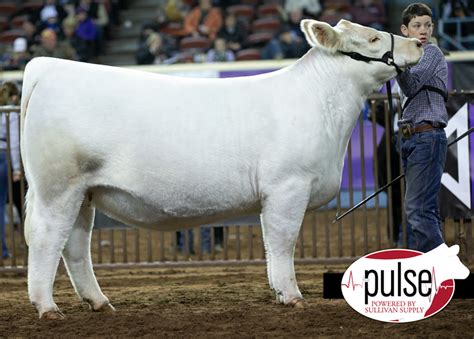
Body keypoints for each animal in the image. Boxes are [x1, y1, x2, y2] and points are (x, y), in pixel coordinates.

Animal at [21, 19, 422, 320]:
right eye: (372, 37)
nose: (419, 43)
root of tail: (49, 66)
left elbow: (272, 242)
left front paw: (280, 292)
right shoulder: (288, 186)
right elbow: (283, 242)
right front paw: (292, 296)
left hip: (84, 192)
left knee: (75, 245)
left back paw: (99, 302)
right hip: (58, 186)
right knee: (46, 239)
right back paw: (48, 308)